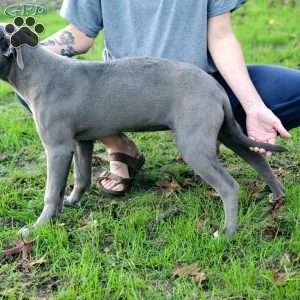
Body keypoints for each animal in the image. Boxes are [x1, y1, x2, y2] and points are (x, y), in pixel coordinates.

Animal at [0, 25, 286, 237]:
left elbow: (50, 191)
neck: (36, 71)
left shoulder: (57, 148)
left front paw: (37, 227)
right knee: (258, 159)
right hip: (228, 132)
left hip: (195, 145)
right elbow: (81, 178)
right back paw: (278, 196)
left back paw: (227, 232)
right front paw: (70, 201)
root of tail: (216, 88)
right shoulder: (81, 142)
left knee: (229, 186)